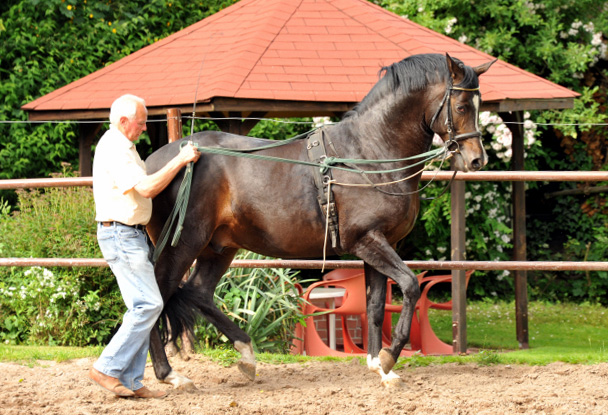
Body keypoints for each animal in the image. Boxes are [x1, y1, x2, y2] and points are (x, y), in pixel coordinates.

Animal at [146, 53, 494, 388]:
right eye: (461, 106)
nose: (477, 159)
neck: (369, 155)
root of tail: (152, 165)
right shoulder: (367, 241)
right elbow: (409, 285)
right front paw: (389, 356)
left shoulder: (379, 244)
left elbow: (375, 304)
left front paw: (378, 367)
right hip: (185, 243)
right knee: (156, 294)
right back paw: (169, 375)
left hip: (218, 247)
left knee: (200, 292)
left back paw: (246, 356)